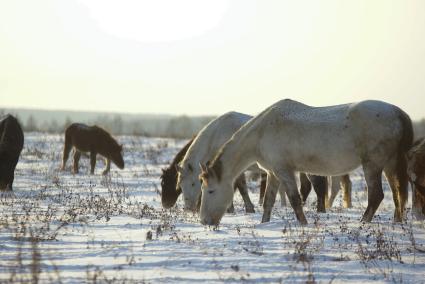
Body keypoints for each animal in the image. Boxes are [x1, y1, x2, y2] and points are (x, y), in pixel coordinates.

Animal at [200, 100, 412, 226]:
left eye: (210, 191)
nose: (204, 221)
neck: (261, 133)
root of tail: (398, 112)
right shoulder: (273, 172)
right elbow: (268, 201)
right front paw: (264, 224)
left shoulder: (284, 171)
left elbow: (295, 199)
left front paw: (303, 224)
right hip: (390, 164)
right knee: (397, 193)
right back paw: (397, 221)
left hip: (372, 165)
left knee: (377, 195)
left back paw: (363, 222)